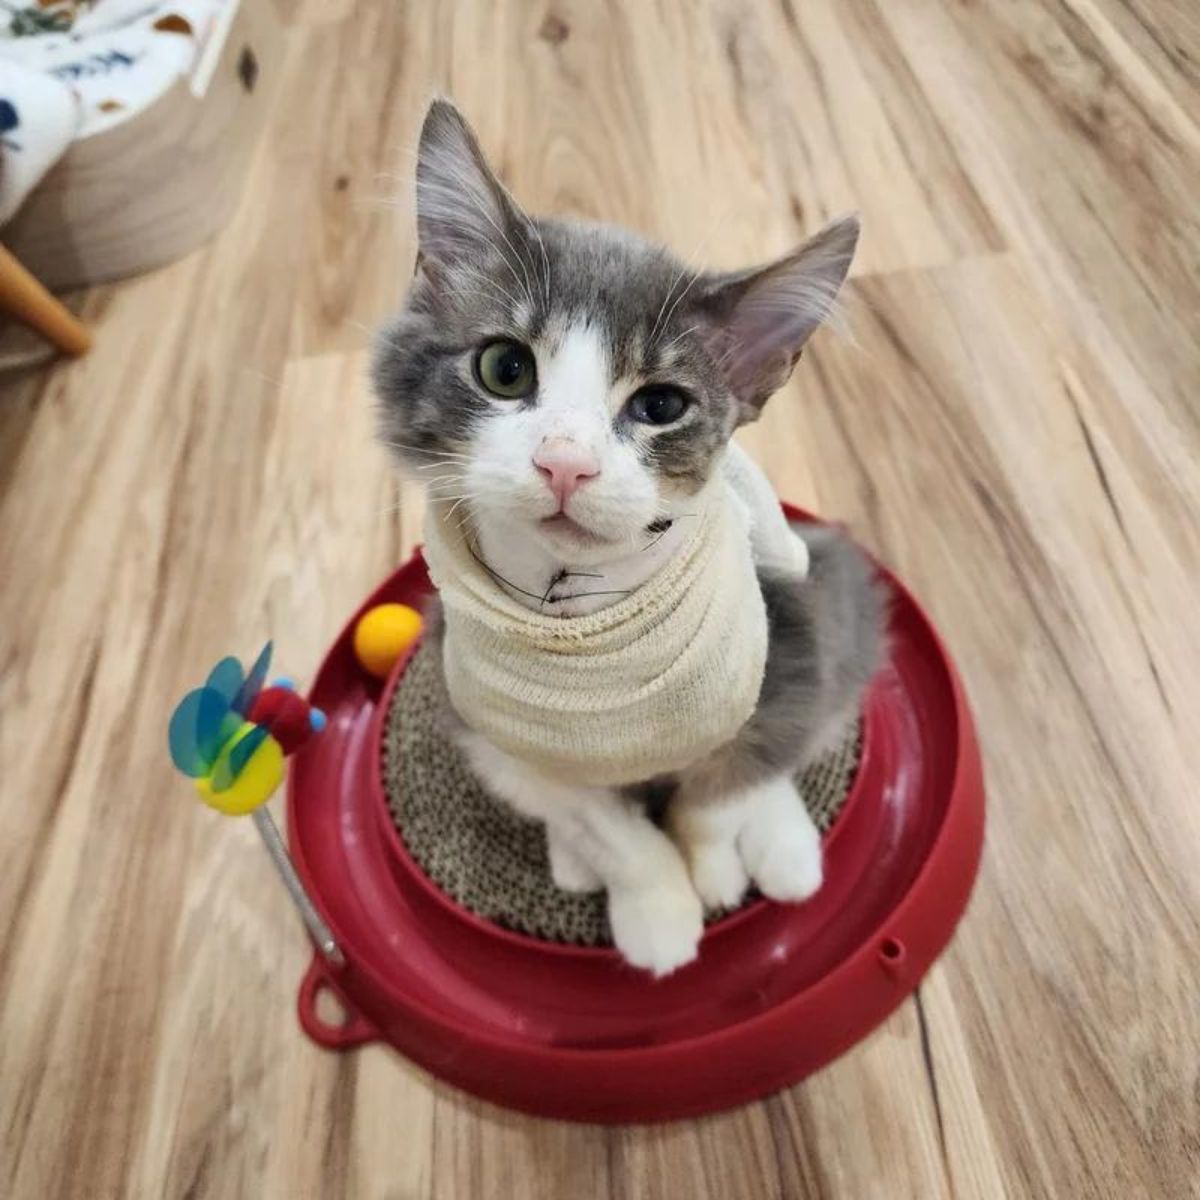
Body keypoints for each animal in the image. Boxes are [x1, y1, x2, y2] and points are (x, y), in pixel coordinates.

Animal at [369, 100, 888, 974]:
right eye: (505, 368)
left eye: (660, 406)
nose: (565, 463)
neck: (589, 632)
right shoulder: (497, 730)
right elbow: (608, 826)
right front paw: (658, 911)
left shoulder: (782, 662)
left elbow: (718, 791)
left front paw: (713, 871)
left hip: (824, 594)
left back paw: (785, 852)